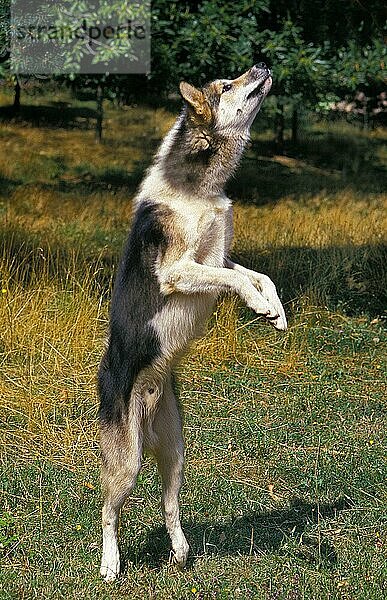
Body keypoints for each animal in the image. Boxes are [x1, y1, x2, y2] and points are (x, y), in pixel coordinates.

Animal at [98, 62, 288, 580]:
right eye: (227, 86)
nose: (263, 65)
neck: (201, 186)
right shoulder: (179, 270)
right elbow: (235, 278)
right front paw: (258, 305)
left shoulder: (218, 254)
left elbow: (255, 274)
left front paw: (276, 311)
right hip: (128, 462)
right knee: (108, 511)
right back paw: (110, 563)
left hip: (176, 451)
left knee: (168, 503)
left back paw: (180, 549)